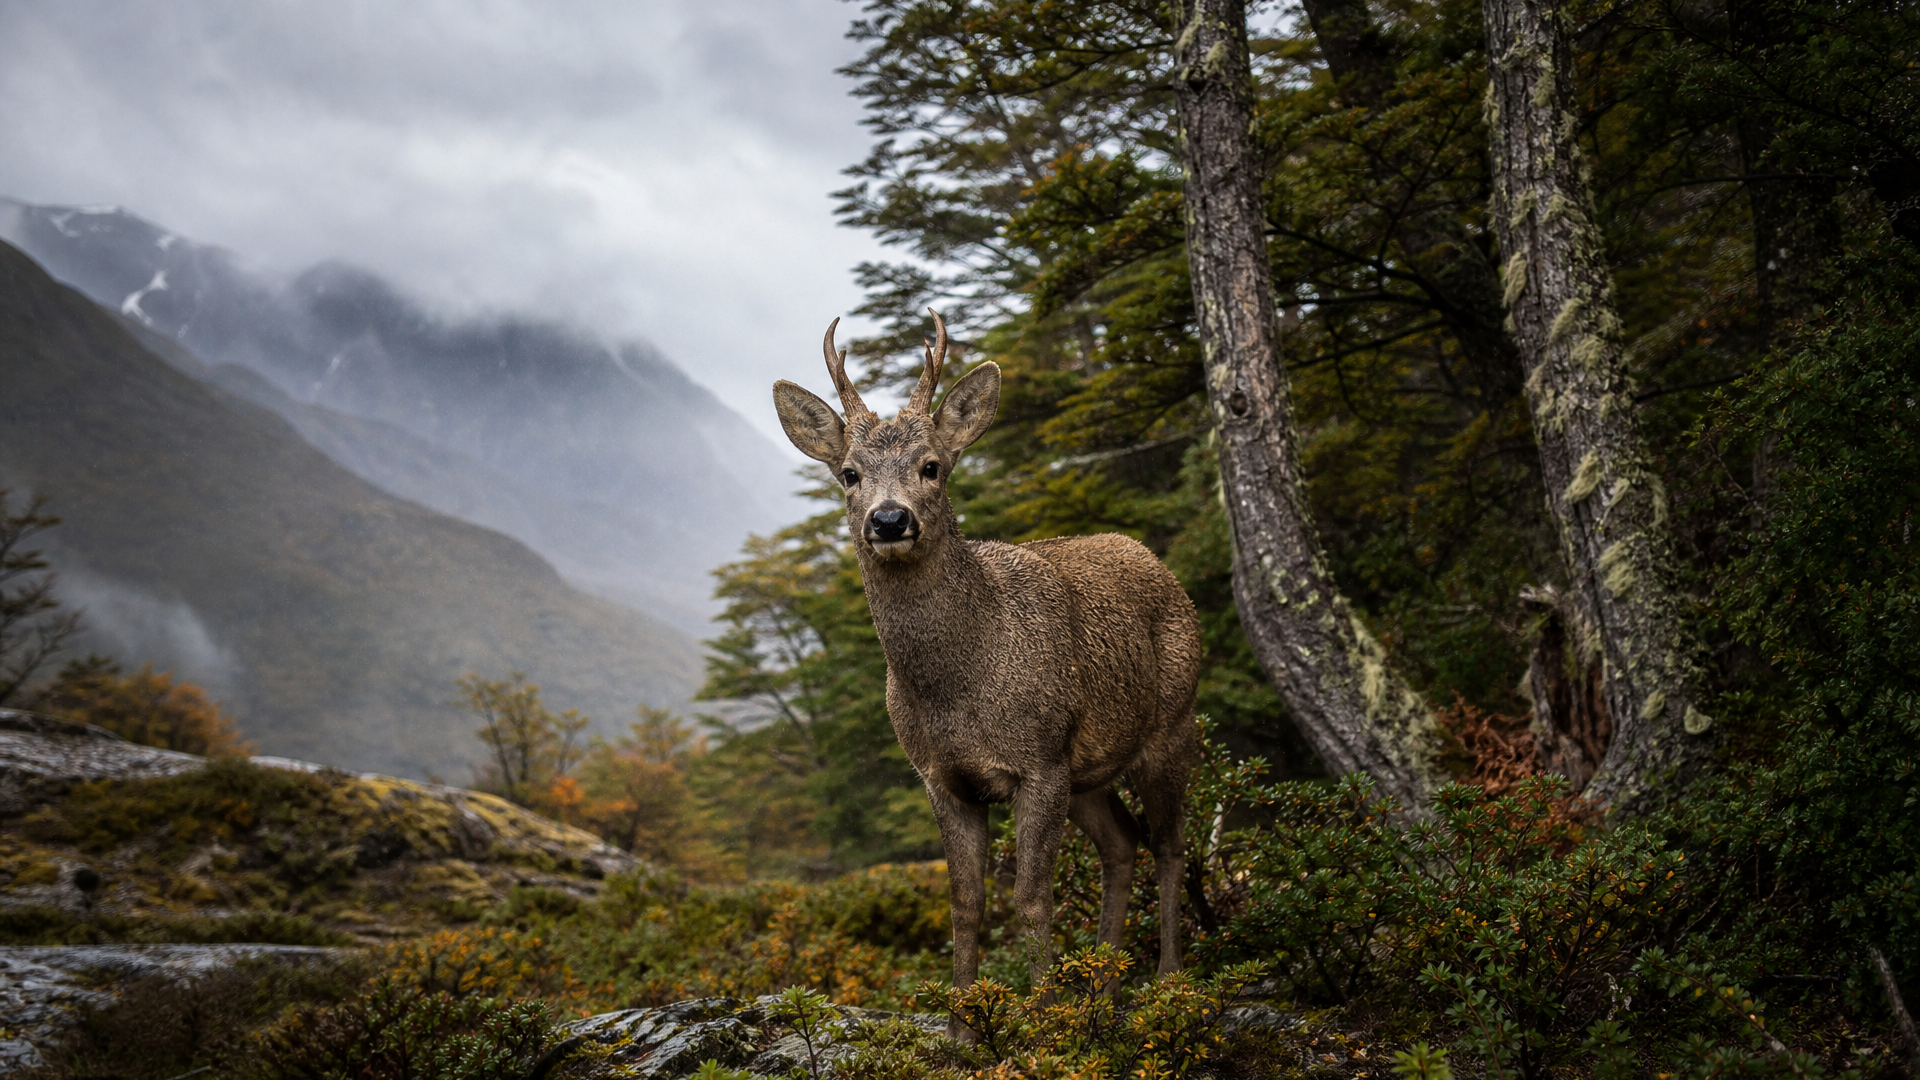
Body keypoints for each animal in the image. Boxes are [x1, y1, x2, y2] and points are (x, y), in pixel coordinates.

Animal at [771, 312, 1204, 1032]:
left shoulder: (1039, 759)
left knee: (1171, 843)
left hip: (1171, 726)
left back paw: (1167, 983)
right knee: (1123, 844)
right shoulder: (942, 777)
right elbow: (965, 903)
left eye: (932, 466)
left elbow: (1031, 896)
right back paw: (1104, 991)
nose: (890, 520)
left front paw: (1046, 1020)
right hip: (1090, 771)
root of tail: (1153, 559)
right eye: (849, 473)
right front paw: (962, 1027)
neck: (961, 688)